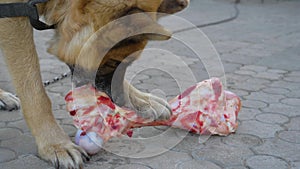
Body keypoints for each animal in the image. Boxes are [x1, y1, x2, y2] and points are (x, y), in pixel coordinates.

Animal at [0, 0, 188, 168]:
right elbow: (34, 90)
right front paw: (55, 144)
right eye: (113, 62)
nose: (118, 101)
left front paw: (142, 100)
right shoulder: (13, 16)